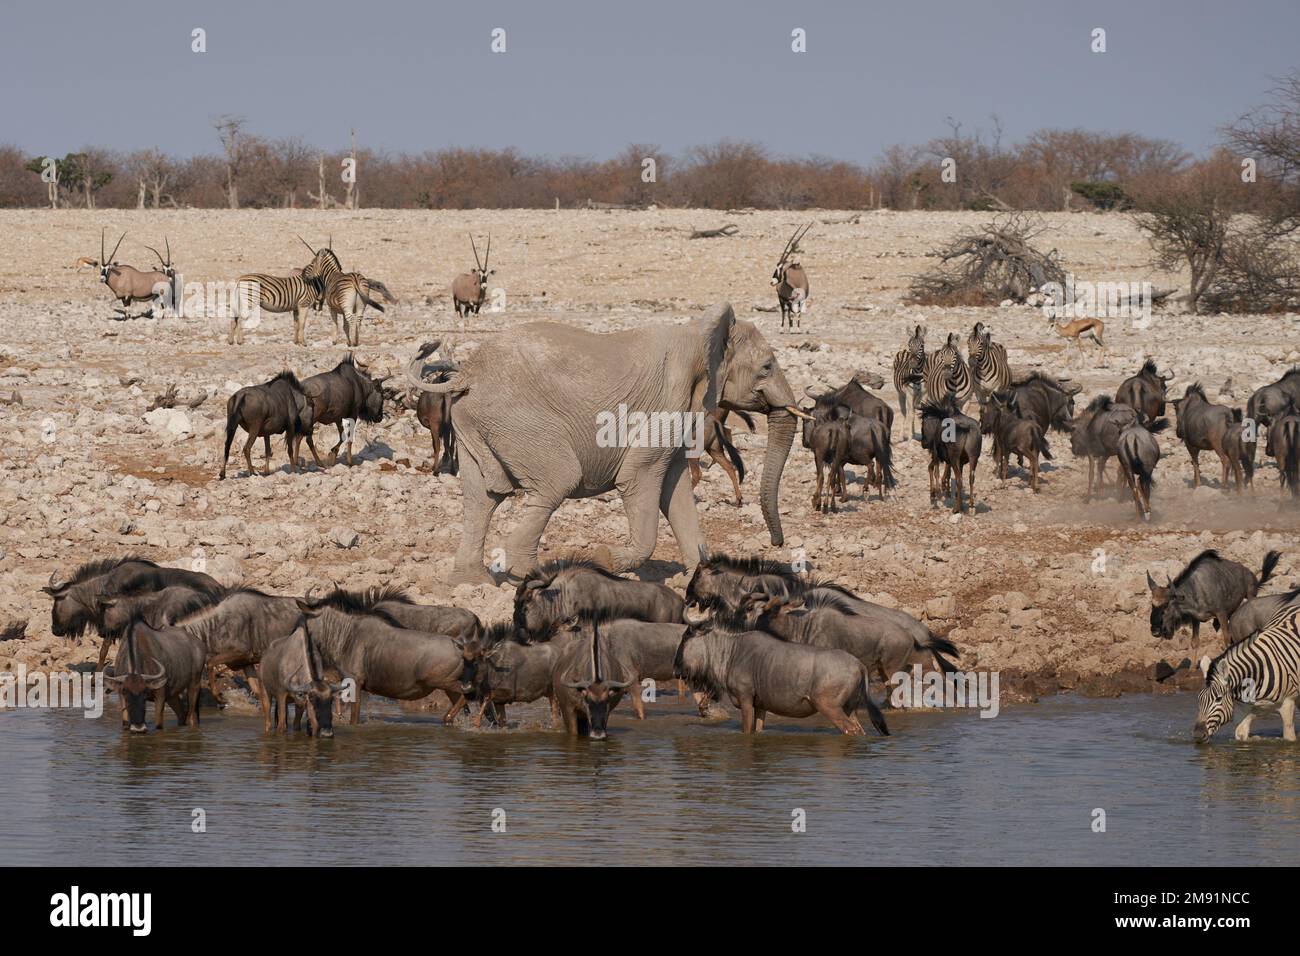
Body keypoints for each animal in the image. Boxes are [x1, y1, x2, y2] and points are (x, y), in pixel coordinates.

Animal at [405, 300, 806, 582]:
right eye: (767, 368)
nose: (778, 544)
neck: (698, 330)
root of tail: (467, 373)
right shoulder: (666, 403)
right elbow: (639, 480)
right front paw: (604, 558)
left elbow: (674, 491)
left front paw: (698, 580)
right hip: (515, 419)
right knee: (555, 481)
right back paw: (527, 574)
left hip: (474, 420)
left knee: (481, 497)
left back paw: (471, 582)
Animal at [1196, 600, 1300, 743]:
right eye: (1199, 699)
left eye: (1218, 699)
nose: (1198, 735)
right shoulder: (1244, 707)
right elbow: (1240, 733)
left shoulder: (1288, 703)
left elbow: (1289, 738)